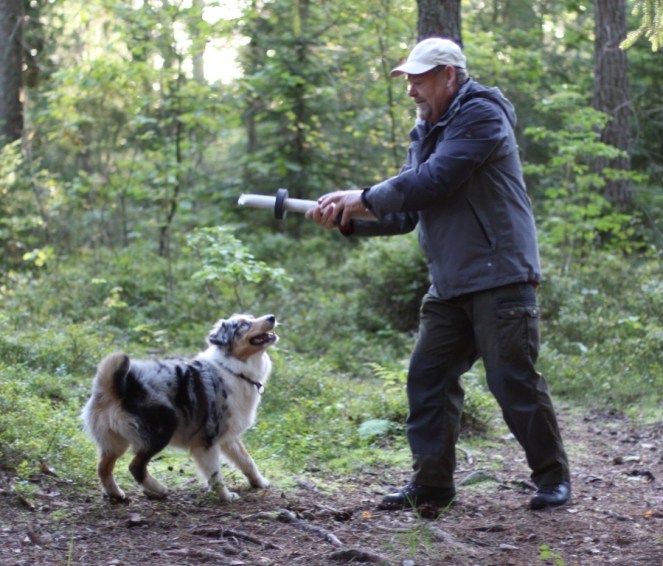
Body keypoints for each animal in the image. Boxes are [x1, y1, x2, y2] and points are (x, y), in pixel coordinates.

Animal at [82, 313, 278, 502]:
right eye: (243, 325)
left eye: (252, 317)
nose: (272, 317)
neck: (233, 369)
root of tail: (115, 386)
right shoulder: (207, 440)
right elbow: (216, 474)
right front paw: (226, 497)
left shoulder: (228, 436)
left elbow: (247, 461)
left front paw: (260, 483)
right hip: (164, 427)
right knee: (135, 467)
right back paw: (158, 488)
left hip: (116, 442)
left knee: (103, 468)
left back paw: (115, 493)